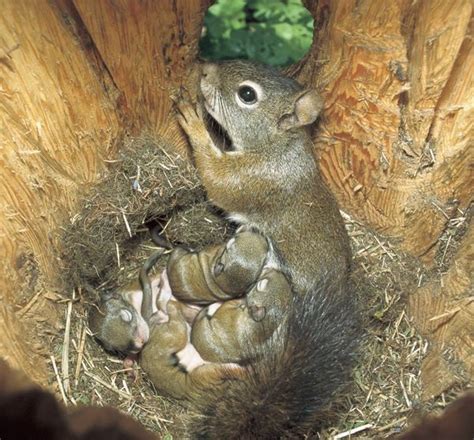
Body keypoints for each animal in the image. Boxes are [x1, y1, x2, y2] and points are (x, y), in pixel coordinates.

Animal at [176, 60, 362, 438]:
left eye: (247, 94)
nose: (206, 70)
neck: (277, 147)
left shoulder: (252, 181)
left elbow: (216, 180)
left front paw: (194, 121)